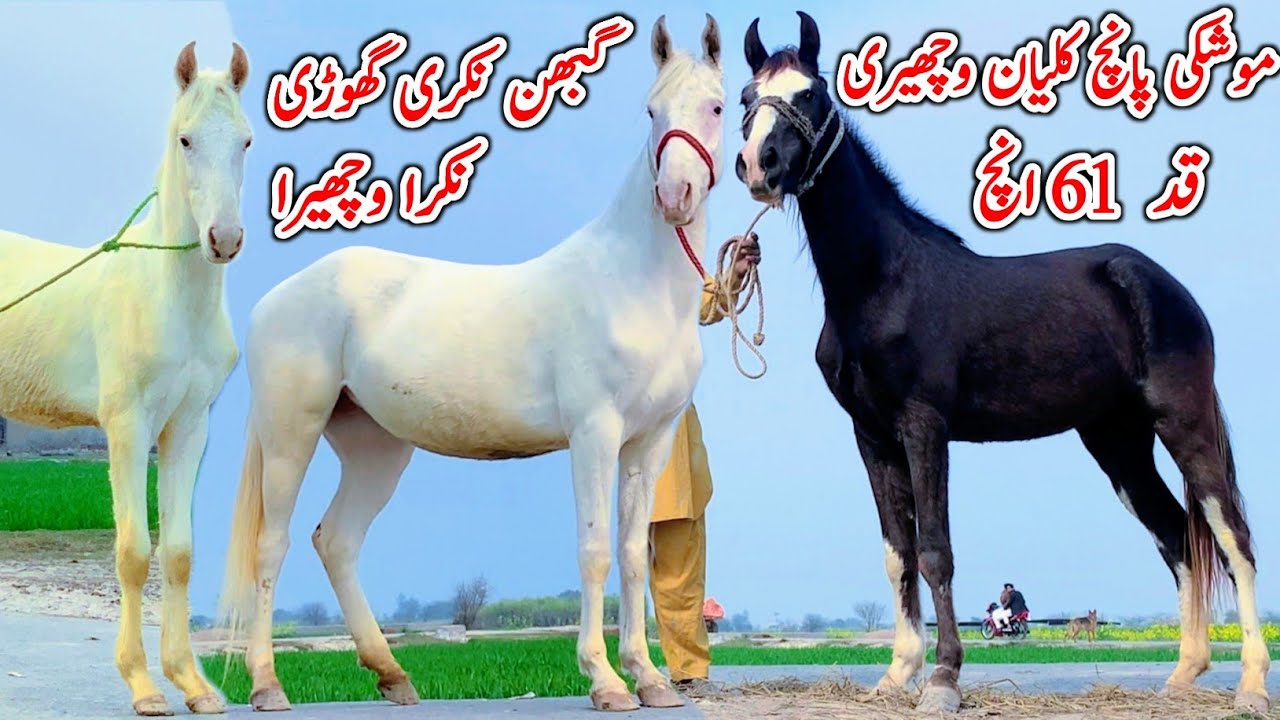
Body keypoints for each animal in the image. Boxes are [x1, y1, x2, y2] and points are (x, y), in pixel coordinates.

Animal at [0, 43, 251, 716]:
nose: (223, 239)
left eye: (245, 141)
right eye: (186, 139)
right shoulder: (127, 428)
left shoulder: (187, 429)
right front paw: (142, 684)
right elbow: (135, 554)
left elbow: (179, 554)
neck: (167, 299)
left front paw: (192, 683)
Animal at [217, 16, 725, 713]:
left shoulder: (650, 441)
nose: (676, 196)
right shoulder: (595, 433)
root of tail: (275, 299)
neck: (635, 283)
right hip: (291, 434)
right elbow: (595, 550)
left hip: (375, 447)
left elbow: (630, 554)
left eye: (717, 106)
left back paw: (393, 676)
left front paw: (647, 679)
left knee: (337, 540)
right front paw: (604, 681)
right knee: (274, 544)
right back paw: (268, 684)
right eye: (650, 111)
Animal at [735, 12, 1267, 715]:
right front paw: (897, 674)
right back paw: (1183, 675)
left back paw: (1252, 684)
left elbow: (935, 550)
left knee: (1231, 537)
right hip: (1117, 441)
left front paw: (943, 679)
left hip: (1182, 422)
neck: (881, 282)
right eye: (746, 98)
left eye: (811, 94)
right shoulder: (872, 436)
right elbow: (898, 554)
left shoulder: (924, 426)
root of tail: (1168, 287)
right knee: (1178, 537)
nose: (758, 166)